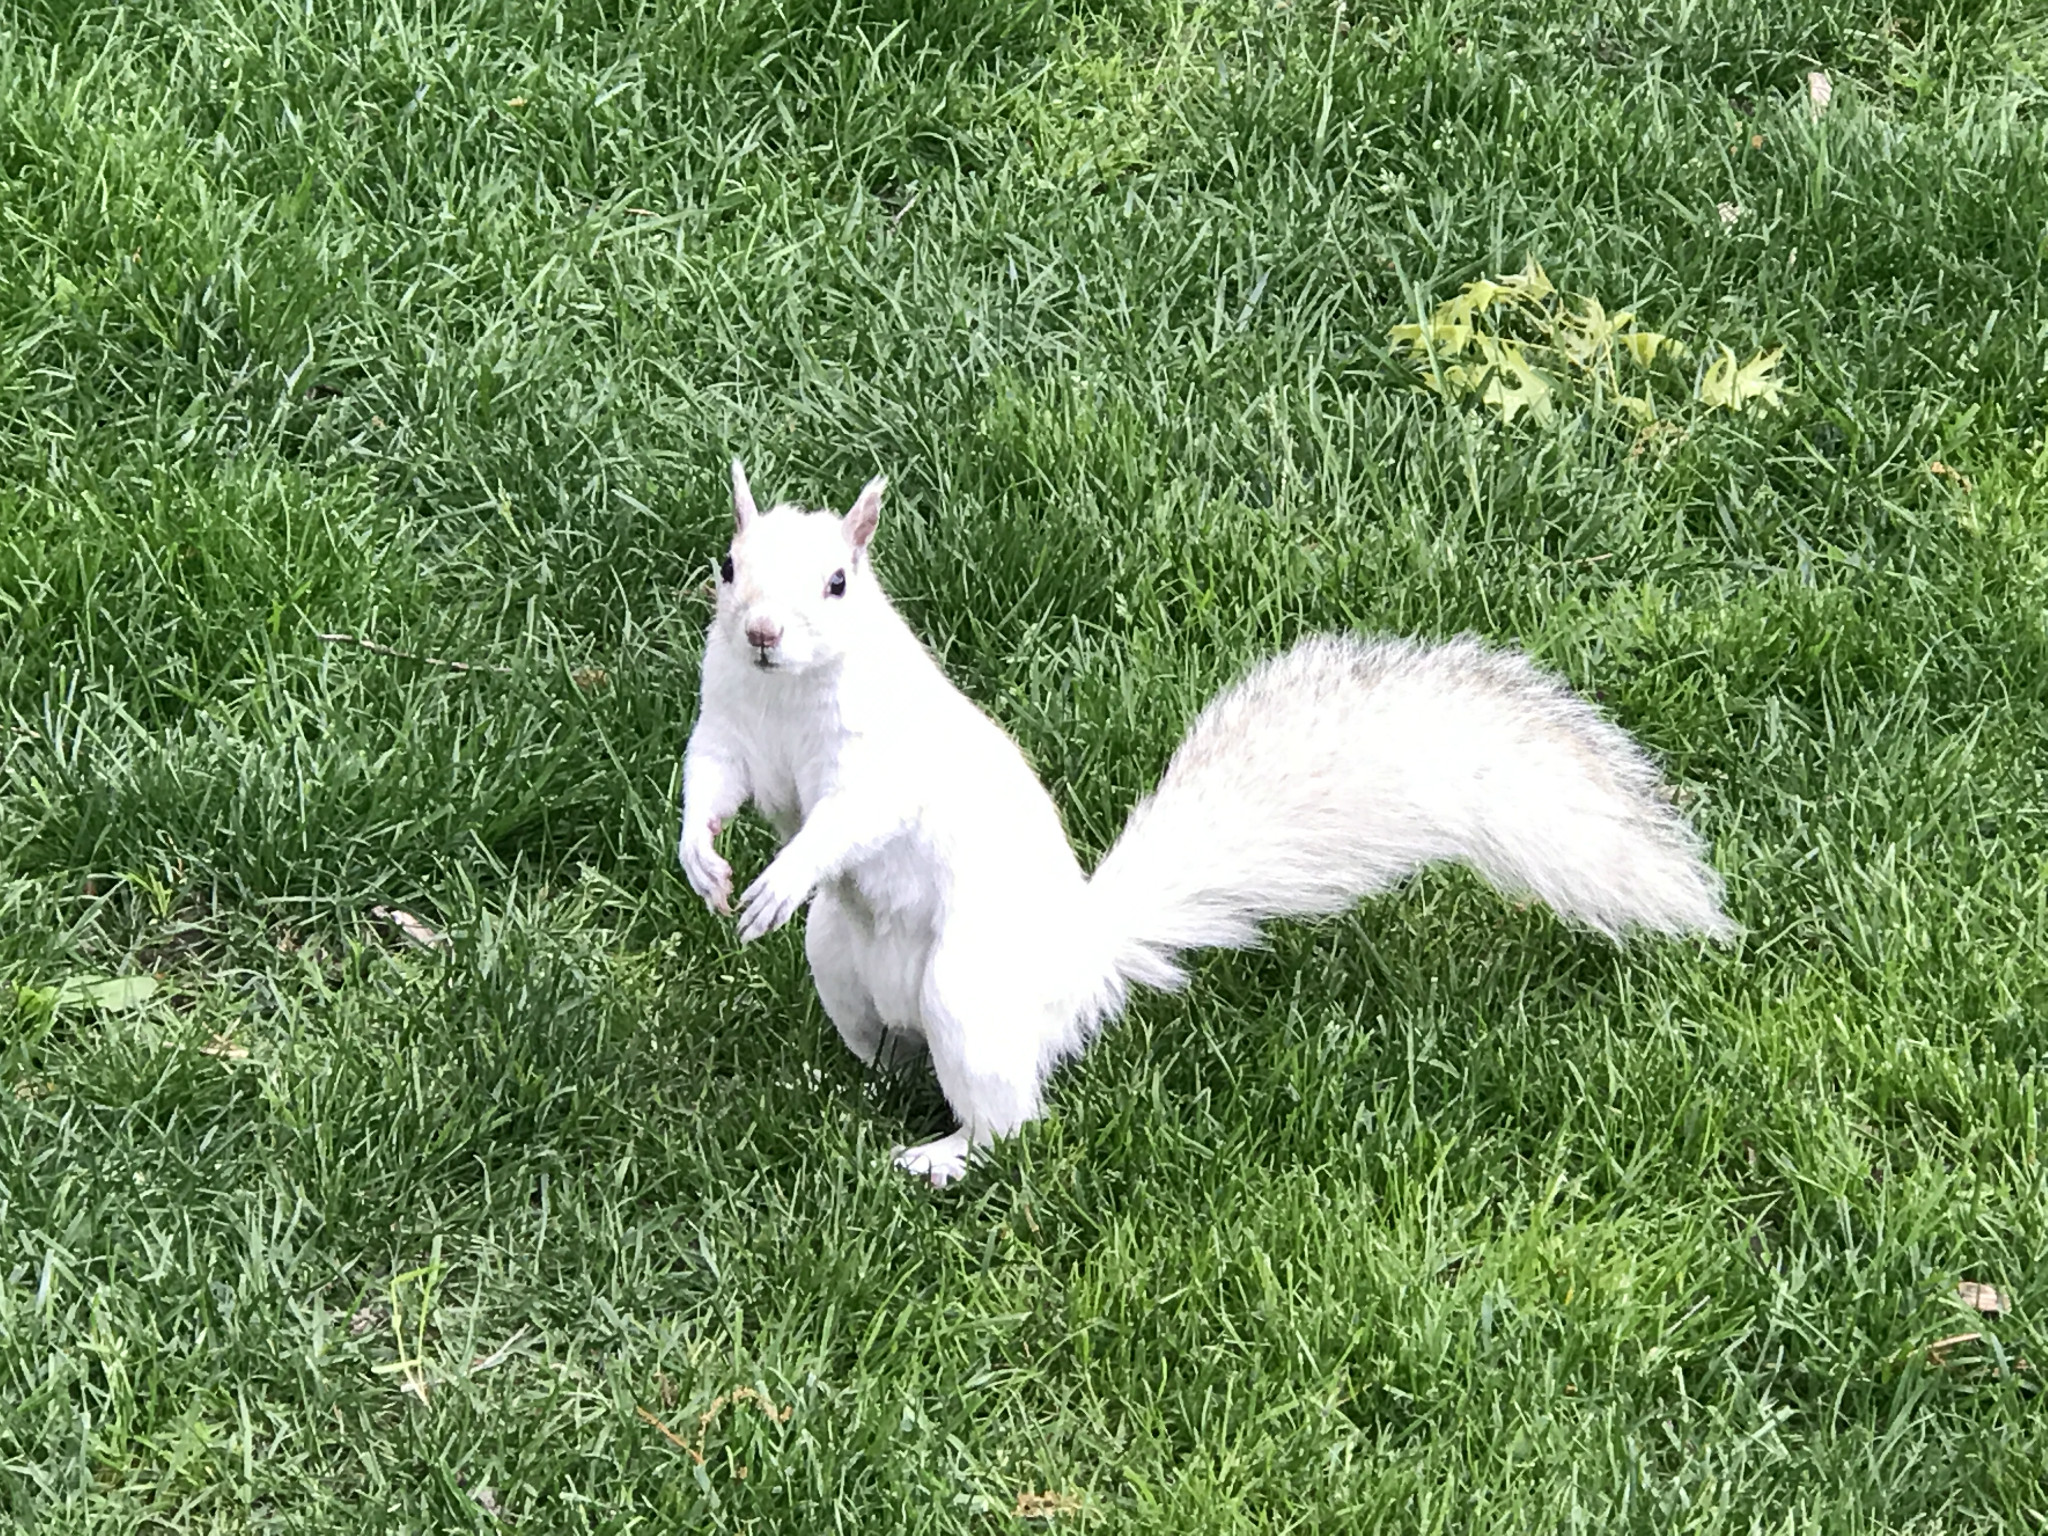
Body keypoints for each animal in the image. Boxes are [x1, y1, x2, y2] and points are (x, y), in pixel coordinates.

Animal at [679, 462, 1736, 1187]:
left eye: (837, 584)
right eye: (727, 566)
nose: (761, 635)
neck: (784, 697)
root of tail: (1083, 965)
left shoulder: (883, 758)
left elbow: (850, 817)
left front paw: (782, 873)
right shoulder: (728, 724)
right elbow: (709, 784)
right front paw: (703, 862)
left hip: (968, 991)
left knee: (1012, 1121)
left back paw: (943, 1157)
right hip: (839, 961)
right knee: (888, 1047)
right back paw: (853, 1090)